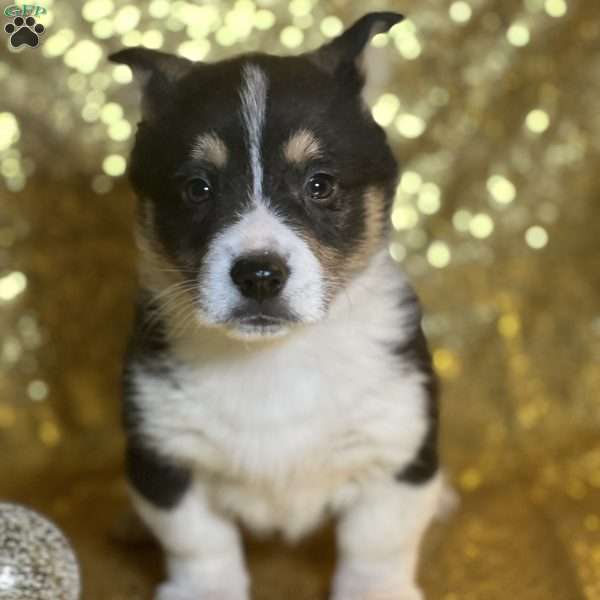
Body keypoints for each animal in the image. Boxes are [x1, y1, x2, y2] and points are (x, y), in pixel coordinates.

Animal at [110, 11, 442, 596]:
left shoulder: (397, 448)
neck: (272, 359)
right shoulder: (165, 455)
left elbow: (378, 541)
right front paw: (208, 591)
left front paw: (374, 588)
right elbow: (199, 544)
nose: (259, 276)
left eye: (320, 184)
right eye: (198, 188)